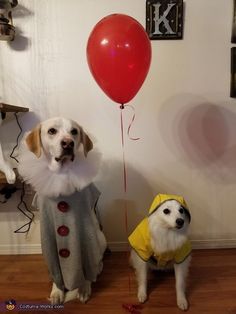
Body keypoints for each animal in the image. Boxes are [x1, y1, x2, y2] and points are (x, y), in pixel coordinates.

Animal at [18, 117, 106, 304]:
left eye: (74, 132)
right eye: (52, 131)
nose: (68, 143)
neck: (62, 176)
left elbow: (87, 264)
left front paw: (84, 288)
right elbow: (57, 271)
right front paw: (57, 291)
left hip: (100, 238)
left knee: (98, 259)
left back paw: (98, 268)